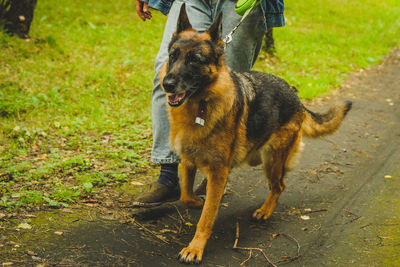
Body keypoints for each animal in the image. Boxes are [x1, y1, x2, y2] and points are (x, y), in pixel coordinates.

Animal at [159, 5, 350, 264]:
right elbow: (186, 196)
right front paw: (198, 202)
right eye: (173, 56)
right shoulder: (189, 161)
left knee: (279, 186)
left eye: (195, 60)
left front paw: (195, 247)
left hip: (272, 161)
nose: (167, 84)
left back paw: (264, 211)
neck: (201, 105)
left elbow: (206, 218)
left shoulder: (218, 173)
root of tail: (295, 96)